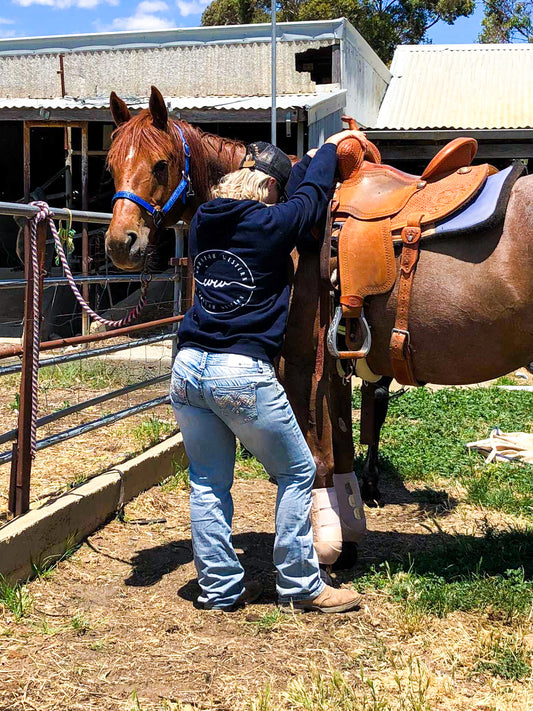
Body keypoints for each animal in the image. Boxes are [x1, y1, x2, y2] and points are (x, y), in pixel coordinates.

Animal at [106, 89, 532, 540]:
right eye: (110, 164)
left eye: (161, 164)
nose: (120, 243)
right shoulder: (336, 365)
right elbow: (341, 443)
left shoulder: (299, 364)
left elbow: (320, 455)